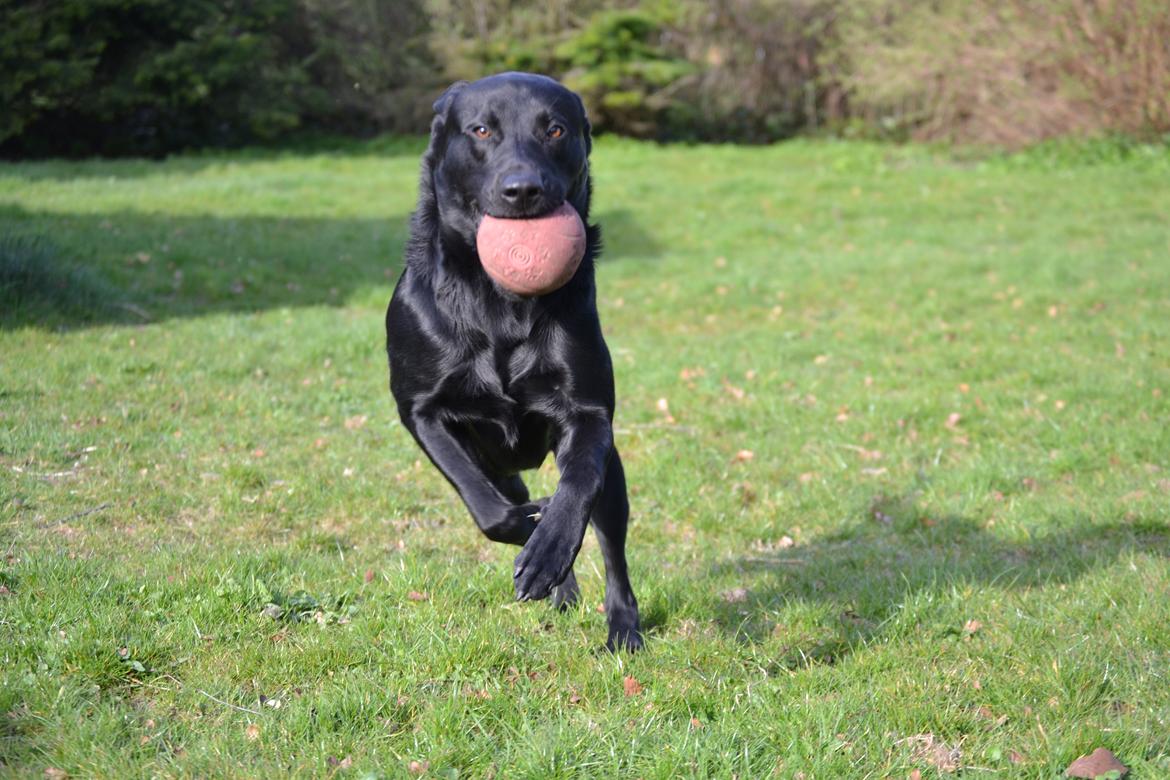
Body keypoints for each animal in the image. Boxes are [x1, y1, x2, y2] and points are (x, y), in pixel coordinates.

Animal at [383, 73, 641, 650]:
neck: (500, 301)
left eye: (555, 129)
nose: (522, 190)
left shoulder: (590, 415)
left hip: (612, 478)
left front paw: (548, 548)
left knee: (610, 539)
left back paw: (621, 624)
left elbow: (576, 488)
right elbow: (485, 506)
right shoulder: (421, 412)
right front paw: (529, 531)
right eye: (481, 130)